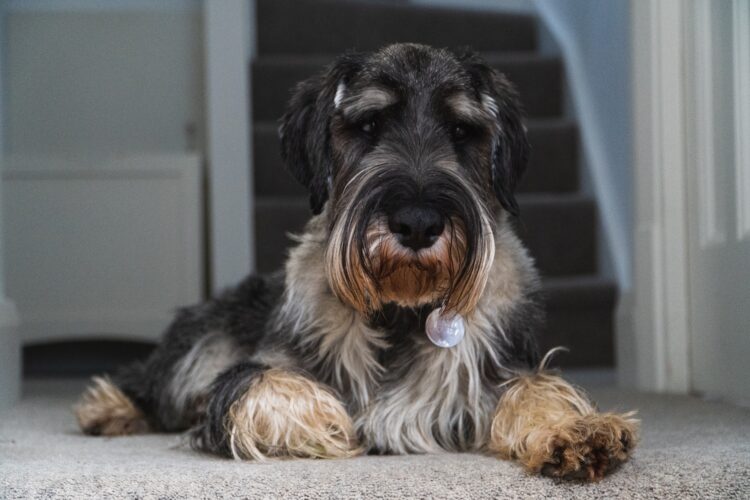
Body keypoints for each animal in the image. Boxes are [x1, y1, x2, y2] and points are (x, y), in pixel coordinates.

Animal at [76, 45, 640, 482]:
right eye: (369, 124)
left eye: (462, 130)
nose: (417, 223)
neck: (401, 308)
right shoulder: (254, 370)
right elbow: (268, 386)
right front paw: (334, 425)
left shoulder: (493, 369)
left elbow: (534, 389)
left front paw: (576, 430)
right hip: (200, 348)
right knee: (152, 382)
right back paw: (106, 409)